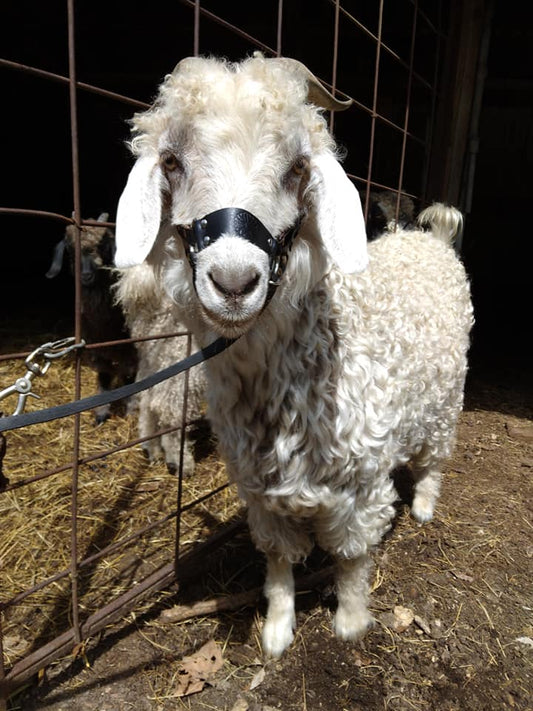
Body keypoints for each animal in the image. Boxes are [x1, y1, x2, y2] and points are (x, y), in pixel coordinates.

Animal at [46, 213, 137, 422]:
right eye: (70, 249)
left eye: (103, 245)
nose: (86, 275)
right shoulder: (95, 348)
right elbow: (104, 375)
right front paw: (101, 412)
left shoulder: (131, 347)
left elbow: (129, 375)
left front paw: (131, 409)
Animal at [111, 57, 470, 660]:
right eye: (171, 161)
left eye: (299, 167)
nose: (234, 282)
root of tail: (433, 241)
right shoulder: (260, 490)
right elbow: (278, 561)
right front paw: (278, 630)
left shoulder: (362, 484)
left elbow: (352, 558)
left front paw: (350, 621)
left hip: (448, 394)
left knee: (436, 455)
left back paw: (424, 504)